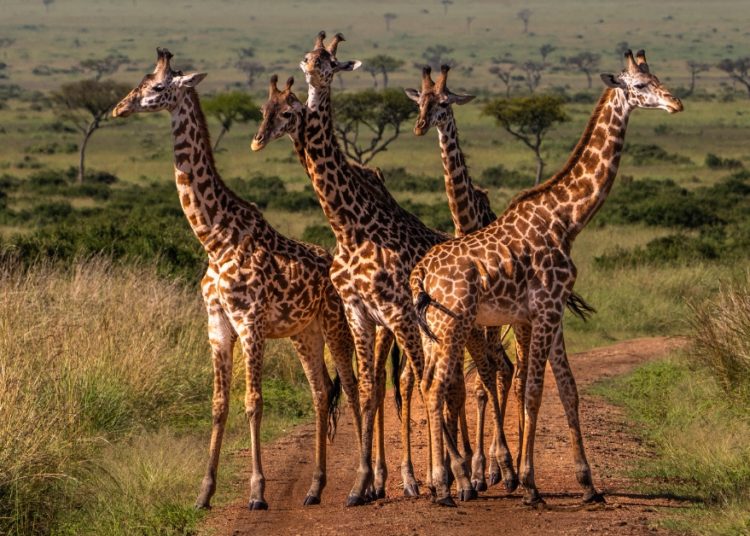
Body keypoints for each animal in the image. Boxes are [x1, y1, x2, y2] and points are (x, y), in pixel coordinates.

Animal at [112, 48, 362, 510]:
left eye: (158, 86)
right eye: (140, 81)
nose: (120, 108)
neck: (215, 237)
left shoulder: (250, 323)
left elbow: (253, 402)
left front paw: (258, 492)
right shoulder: (217, 324)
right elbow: (218, 404)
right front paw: (203, 492)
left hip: (338, 324)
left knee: (353, 387)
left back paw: (366, 482)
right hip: (305, 333)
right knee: (321, 394)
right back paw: (315, 488)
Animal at [410, 49, 683, 506]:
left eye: (658, 77)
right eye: (640, 85)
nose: (676, 103)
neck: (567, 219)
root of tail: (421, 273)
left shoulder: (549, 314)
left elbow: (568, 389)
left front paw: (589, 485)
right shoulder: (545, 309)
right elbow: (535, 392)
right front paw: (529, 485)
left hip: (435, 328)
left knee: (430, 383)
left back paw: (442, 482)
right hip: (455, 324)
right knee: (438, 388)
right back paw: (448, 485)